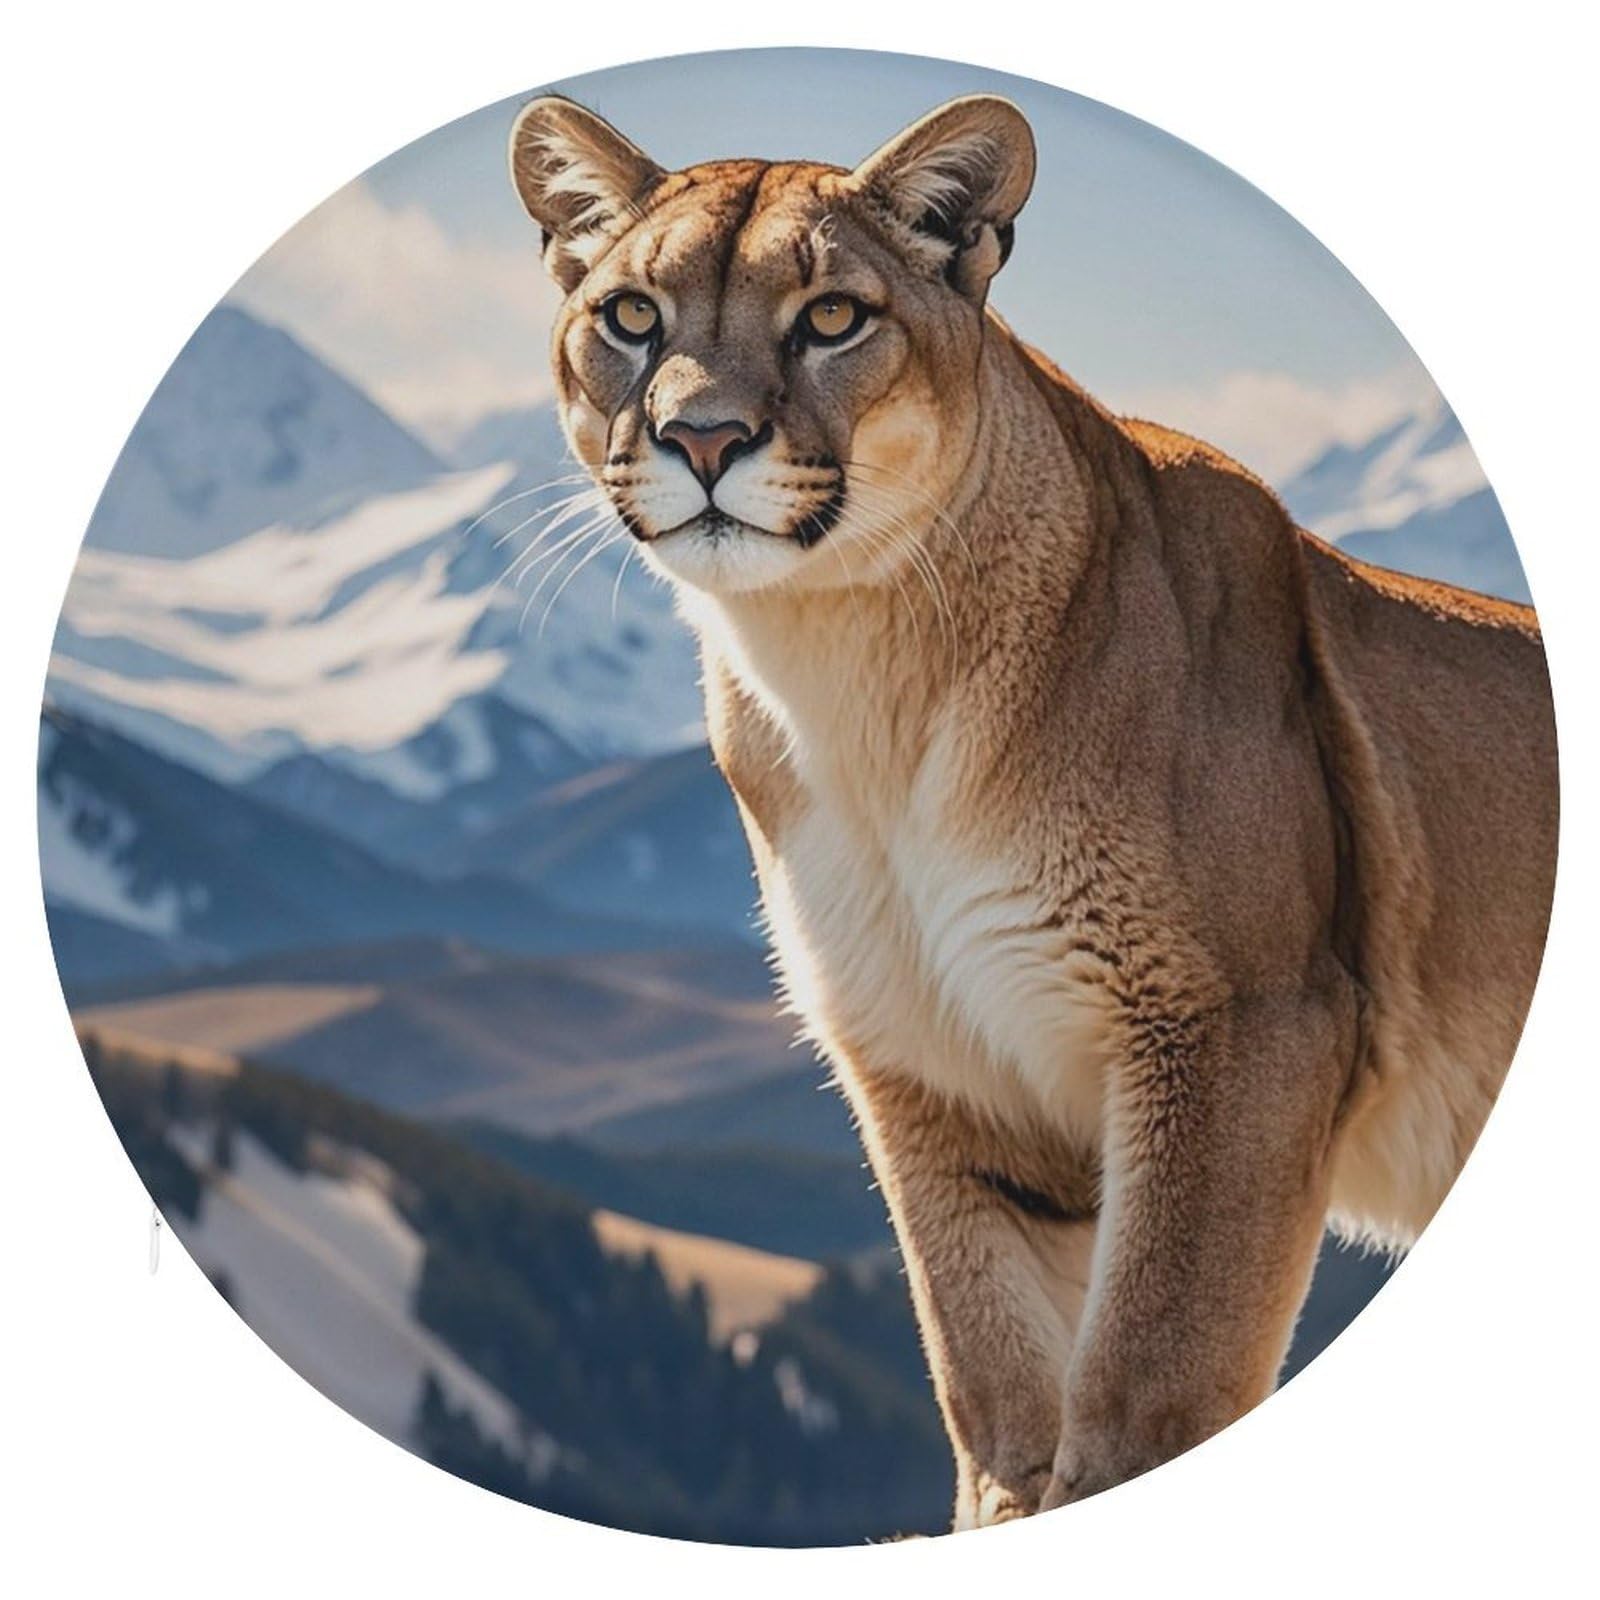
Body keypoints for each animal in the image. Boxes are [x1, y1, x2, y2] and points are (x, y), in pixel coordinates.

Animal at [507, 91, 1558, 1528]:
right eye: (629, 316)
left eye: (830, 316)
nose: (703, 439)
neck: (861, 680)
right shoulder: (938, 1073)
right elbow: (997, 1396)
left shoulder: (1240, 1031)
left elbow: (1145, 1393)